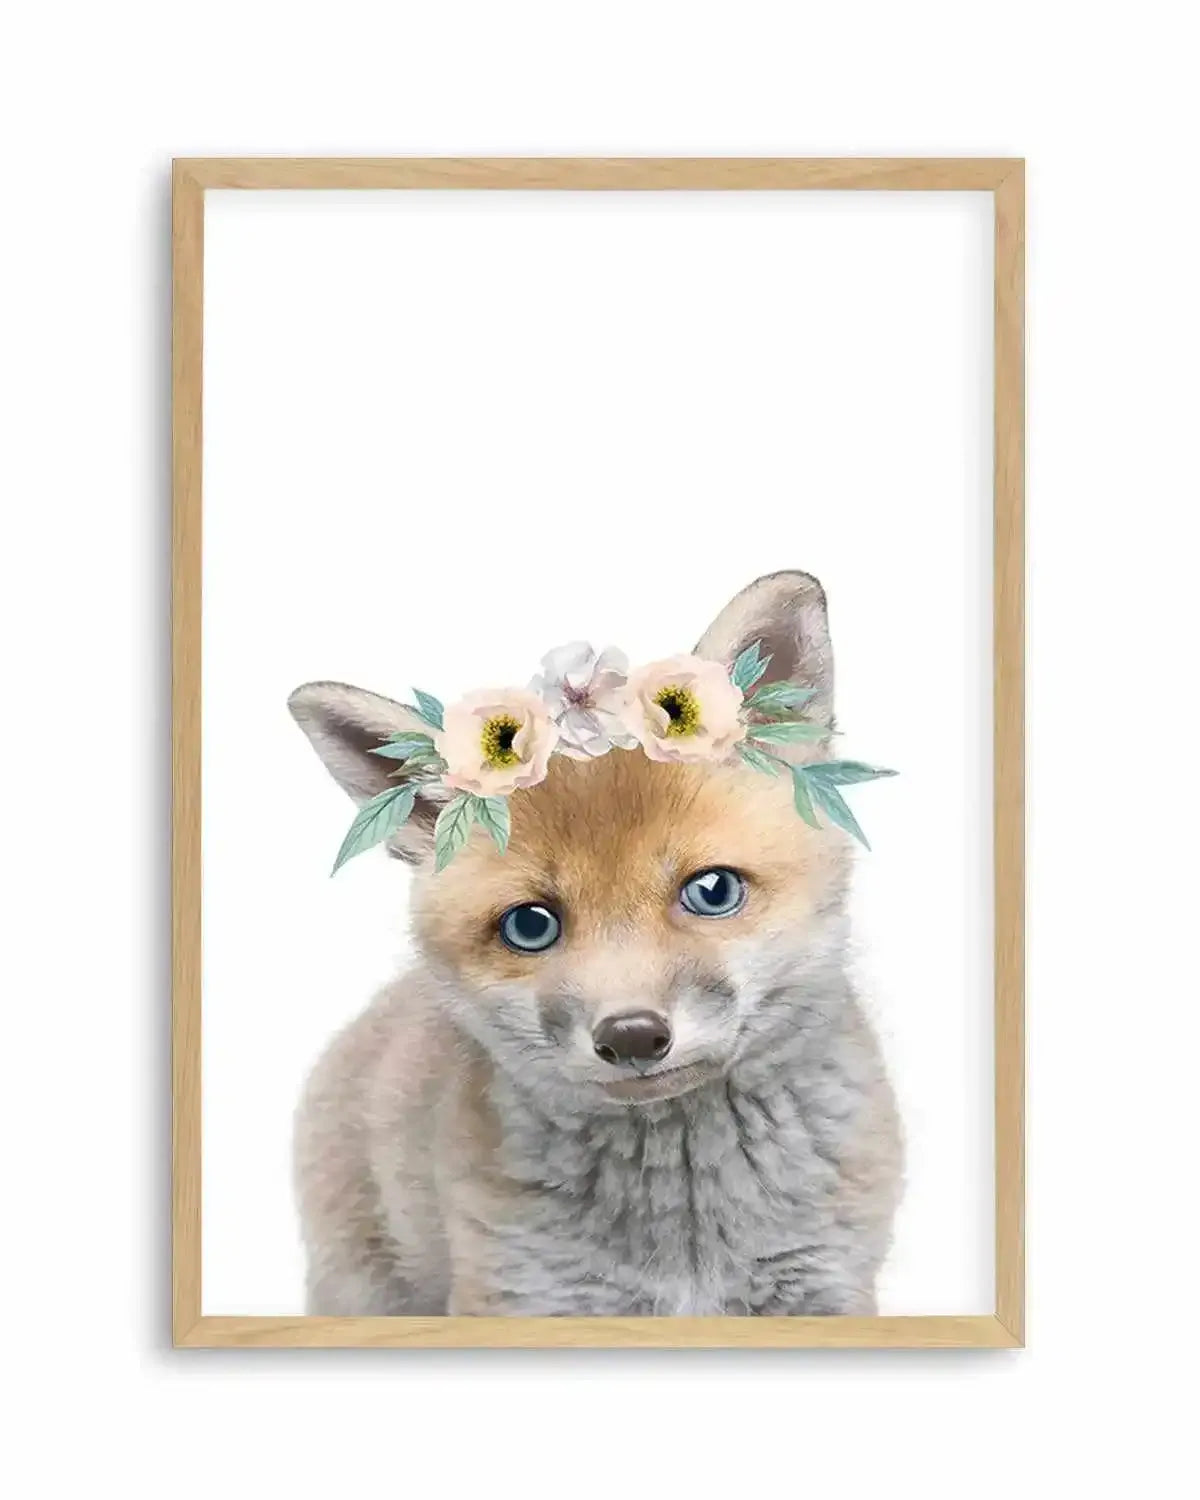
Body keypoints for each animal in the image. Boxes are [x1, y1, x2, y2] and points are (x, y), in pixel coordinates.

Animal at [288, 570, 903, 1316]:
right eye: (530, 925)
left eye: (713, 891)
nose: (633, 1036)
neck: (686, 1236)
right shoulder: (527, 1295)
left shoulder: (823, 1285)